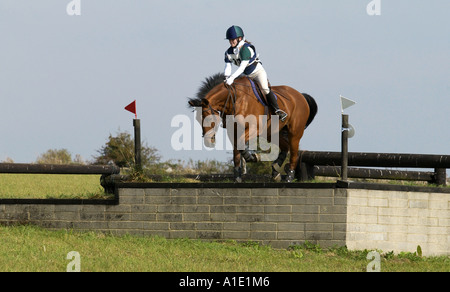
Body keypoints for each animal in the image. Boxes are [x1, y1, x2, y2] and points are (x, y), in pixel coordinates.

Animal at [188, 72, 318, 182]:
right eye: (197, 119)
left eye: (209, 118)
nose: (208, 141)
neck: (234, 99)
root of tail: (300, 96)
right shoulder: (233, 131)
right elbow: (237, 154)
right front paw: (237, 178)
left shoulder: (254, 129)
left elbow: (241, 145)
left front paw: (253, 157)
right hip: (272, 132)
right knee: (285, 148)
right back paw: (275, 170)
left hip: (294, 133)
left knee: (294, 154)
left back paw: (289, 177)